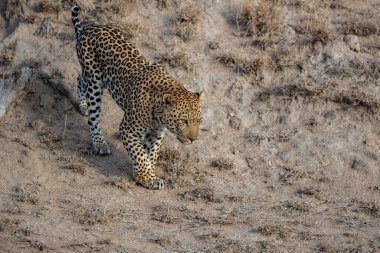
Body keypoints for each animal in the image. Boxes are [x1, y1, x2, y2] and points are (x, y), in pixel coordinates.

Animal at [71, 0, 202, 189]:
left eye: (198, 121)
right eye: (184, 121)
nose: (193, 139)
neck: (158, 115)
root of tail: (88, 28)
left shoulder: (157, 134)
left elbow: (150, 154)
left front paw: (148, 174)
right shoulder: (128, 129)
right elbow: (139, 153)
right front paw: (145, 176)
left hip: (94, 79)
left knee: (80, 79)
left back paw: (83, 105)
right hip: (95, 81)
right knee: (93, 115)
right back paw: (99, 142)